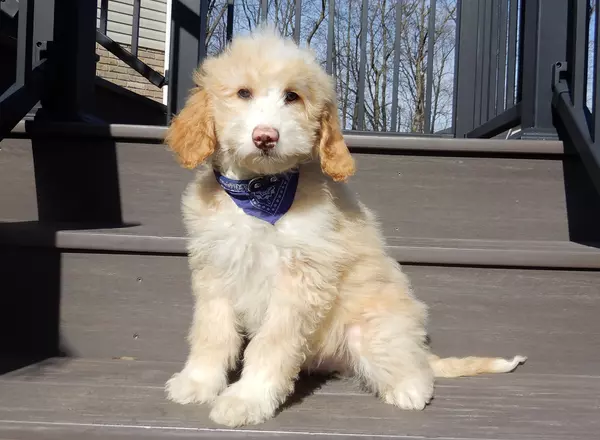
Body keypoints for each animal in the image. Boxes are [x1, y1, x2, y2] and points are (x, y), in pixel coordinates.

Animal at [164, 26, 524, 426]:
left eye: (292, 96)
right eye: (243, 93)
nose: (266, 136)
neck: (258, 192)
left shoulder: (299, 280)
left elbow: (271, 343)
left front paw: (248, 398)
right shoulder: (215, 269)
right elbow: (211, 332)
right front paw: (198, 382)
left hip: (372, 330)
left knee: (414, 367)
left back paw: (409, 390)